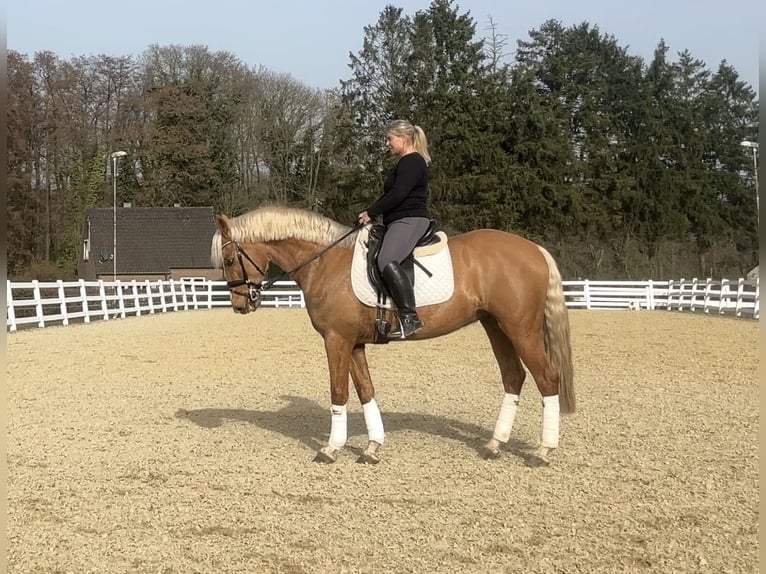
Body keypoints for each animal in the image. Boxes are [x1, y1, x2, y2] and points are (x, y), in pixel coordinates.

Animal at [210, 205, 575, 467]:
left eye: (228, 259)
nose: (240, 305)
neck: (326, 261)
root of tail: (534, 249)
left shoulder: (336, 340)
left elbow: (339, 392)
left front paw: (330, 449)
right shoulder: (354, 342)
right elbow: (365, 390)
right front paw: (372, 447)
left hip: (520, 328)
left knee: (547, 378)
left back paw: (542, 451)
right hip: (496, 326)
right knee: (514, 377)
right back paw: (494, 445)